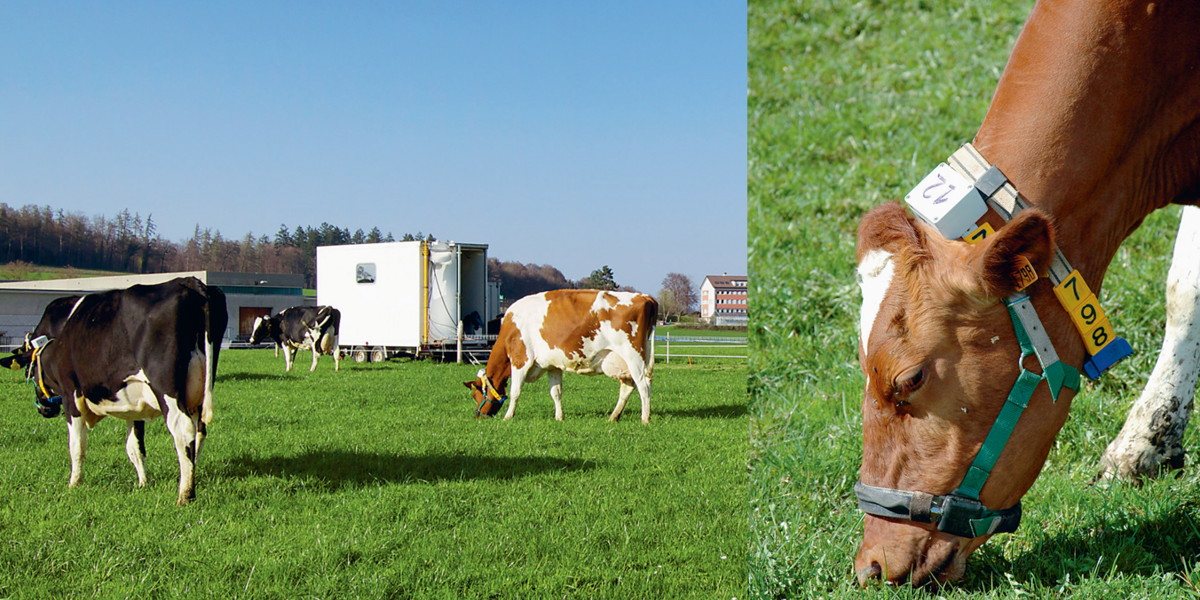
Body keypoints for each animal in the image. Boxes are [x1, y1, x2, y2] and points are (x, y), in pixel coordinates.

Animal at [0, 277, 226, 506]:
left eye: (29, 371)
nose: (44, 409)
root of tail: (190, 282)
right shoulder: (135, 404)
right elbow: (134, 446)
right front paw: (142, 484)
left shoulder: (70, 394)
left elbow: (76, 445)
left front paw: (73, 484)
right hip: (198, 392)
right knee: (198, 433)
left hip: (167, 390)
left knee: (183, 431)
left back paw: (185, 494)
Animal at [465, 289, 657, 422]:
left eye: (475, 396)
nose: (477, 415)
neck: (510, 328)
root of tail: (645, 297)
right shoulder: (552, 365)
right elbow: (556, 392)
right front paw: (559, 417)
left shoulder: (520, 360)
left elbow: (515, 392)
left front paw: (508, 417)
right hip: (622, 362)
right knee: (628, 387)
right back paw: (613, 417)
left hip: (634, 357)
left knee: (644, 386)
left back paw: (645, 419)